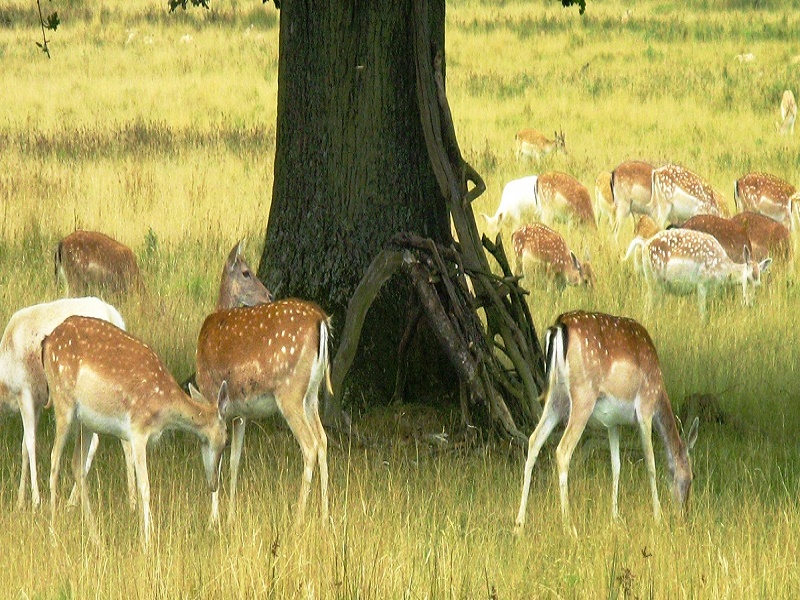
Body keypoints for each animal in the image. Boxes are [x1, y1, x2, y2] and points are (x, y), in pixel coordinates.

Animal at [0, 297, 135, 510]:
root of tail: (114, 317)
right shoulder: (37, 400)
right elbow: (23, 446)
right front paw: (20, 501)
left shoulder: (24, 390)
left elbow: (30, 443)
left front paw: (36, 501)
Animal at [43, 316, 229, 547]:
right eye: (226, 440)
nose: (214, 484)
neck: (164, 405)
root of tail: (47, 341)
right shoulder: (138, 429)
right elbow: (145, 487)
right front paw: (147, 542)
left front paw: (144, 533)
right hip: (63, 403)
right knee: (54, 460)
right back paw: (53, 536)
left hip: (86, 422)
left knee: (77, 465)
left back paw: (96, 539)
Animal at [195, 242, 329, 525]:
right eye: (247, 272)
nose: (269, 295)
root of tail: (322, 320)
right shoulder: (239, 412)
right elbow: (235, 459)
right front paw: (231, 516)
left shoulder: (212, 395)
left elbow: (218, 457)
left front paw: (214, 519)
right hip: (311, 393)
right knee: (323, 440)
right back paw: (325, 516)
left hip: (290, 391)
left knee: (310, 445)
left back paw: (298, 517)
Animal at [515, 311, 699, 537]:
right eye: (690, 476)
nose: (684, 515)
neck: (659, 396)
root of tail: (558, 326)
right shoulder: (645, 408)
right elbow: (651, 463)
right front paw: (658, 517)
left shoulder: (613, 423)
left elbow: (616, 466)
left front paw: (615, 517)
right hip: (583, 395)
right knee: (562, 450)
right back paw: (569, 526)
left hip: (555, 399)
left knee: (533, 440)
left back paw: (519, 525)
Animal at [626, 228, 771, 317]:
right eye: (748, 279)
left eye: (758, 283)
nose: (749, 304)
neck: (722, 269)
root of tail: (645, 244)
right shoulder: (701, 283)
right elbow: (702, 313)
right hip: (654, 280)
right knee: (647, 307)